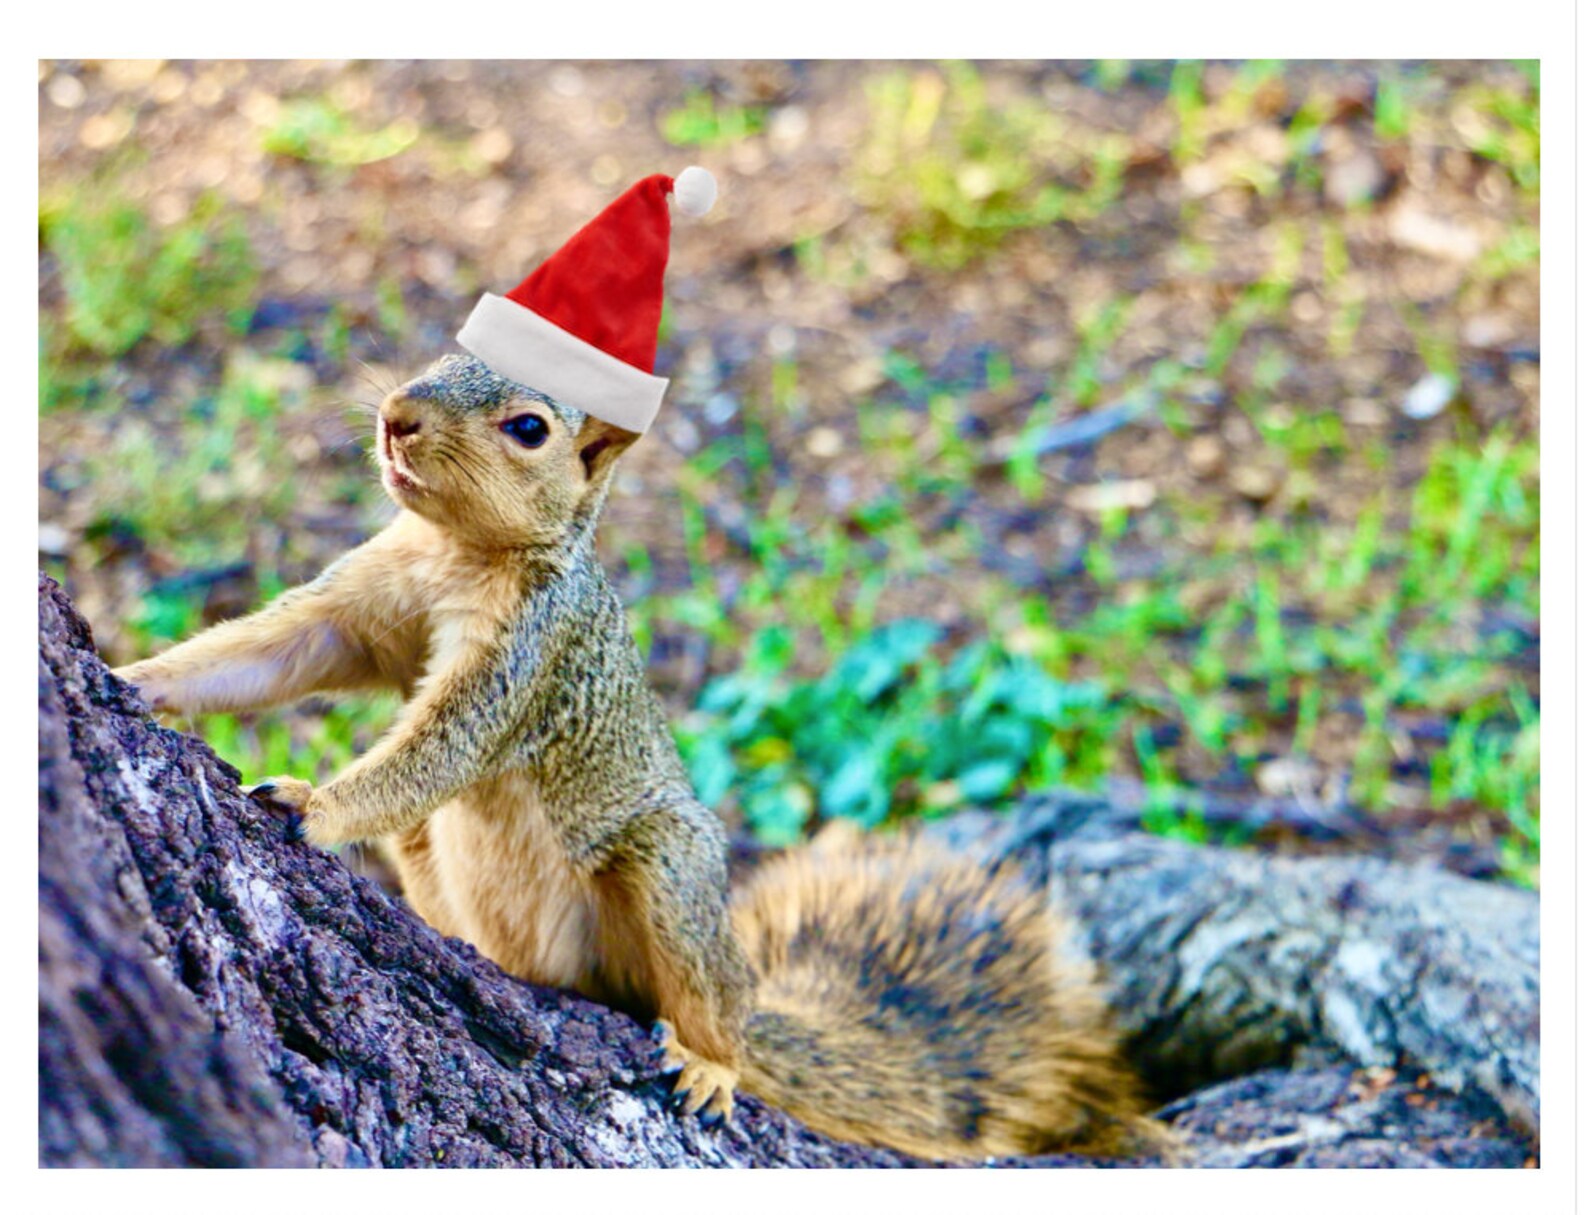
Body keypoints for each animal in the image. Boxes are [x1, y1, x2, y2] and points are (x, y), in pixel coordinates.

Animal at [112, 352, 1167, 1161]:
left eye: (528, 427)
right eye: (440, 357)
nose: (396, 415)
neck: (458, 552)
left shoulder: (529, 660)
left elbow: (439, 749)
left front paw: (315, 805)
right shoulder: (363, 606)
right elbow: (271, 650)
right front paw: (137, 678)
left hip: (667, 868)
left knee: (711, 997)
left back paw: (710, 1058)